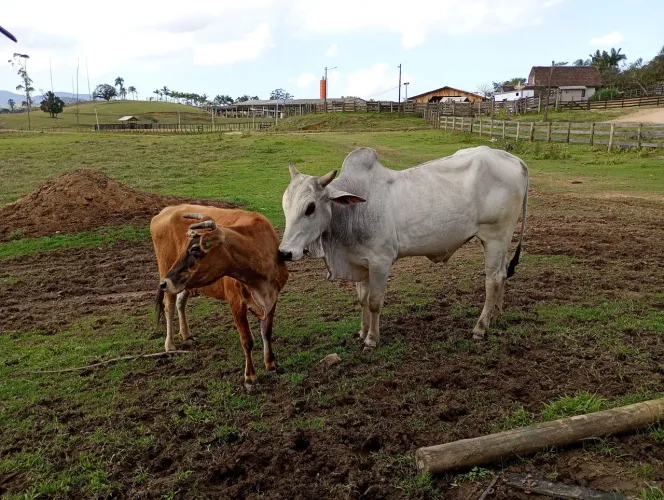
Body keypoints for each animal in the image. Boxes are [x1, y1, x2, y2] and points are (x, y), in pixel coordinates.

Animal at [151, 204, 288, 390]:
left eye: (195, 249)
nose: (164, 283)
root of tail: (165, 211)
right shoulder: (236, 303)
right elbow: (247, 341)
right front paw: (250, 377)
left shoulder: (272, 299)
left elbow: (266, 333)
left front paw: (271, 364)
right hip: (166, 268)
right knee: (169, 306)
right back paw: (170, 344)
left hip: (185, 284)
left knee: (181, 302)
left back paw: (186, 334)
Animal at [278, 146, 528, 350]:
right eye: (284, 206)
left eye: (310, 207)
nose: (285, 252)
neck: (354, 210)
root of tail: (515, 159)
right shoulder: (360, 263)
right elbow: (362, 299)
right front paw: (362, 332)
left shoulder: (381, 262)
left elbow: (374, 302)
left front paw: (372, 339)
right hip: (501, 240)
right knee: (502, 274)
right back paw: (496, 315)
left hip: (495, 236)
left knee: (492, 279)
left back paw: (480, 327)